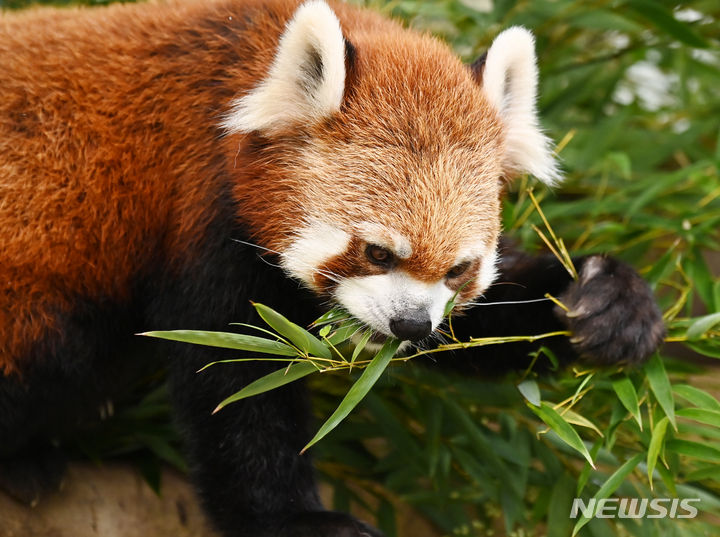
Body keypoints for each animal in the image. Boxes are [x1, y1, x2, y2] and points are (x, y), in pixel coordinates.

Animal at [0, 1, 664, 536]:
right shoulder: (203, 215)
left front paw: (608, 303)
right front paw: (296, 520)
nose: (410, 326)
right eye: (377, 252)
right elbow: (235, 381)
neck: (249, 59)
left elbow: (485, 325)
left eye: (457, 270)